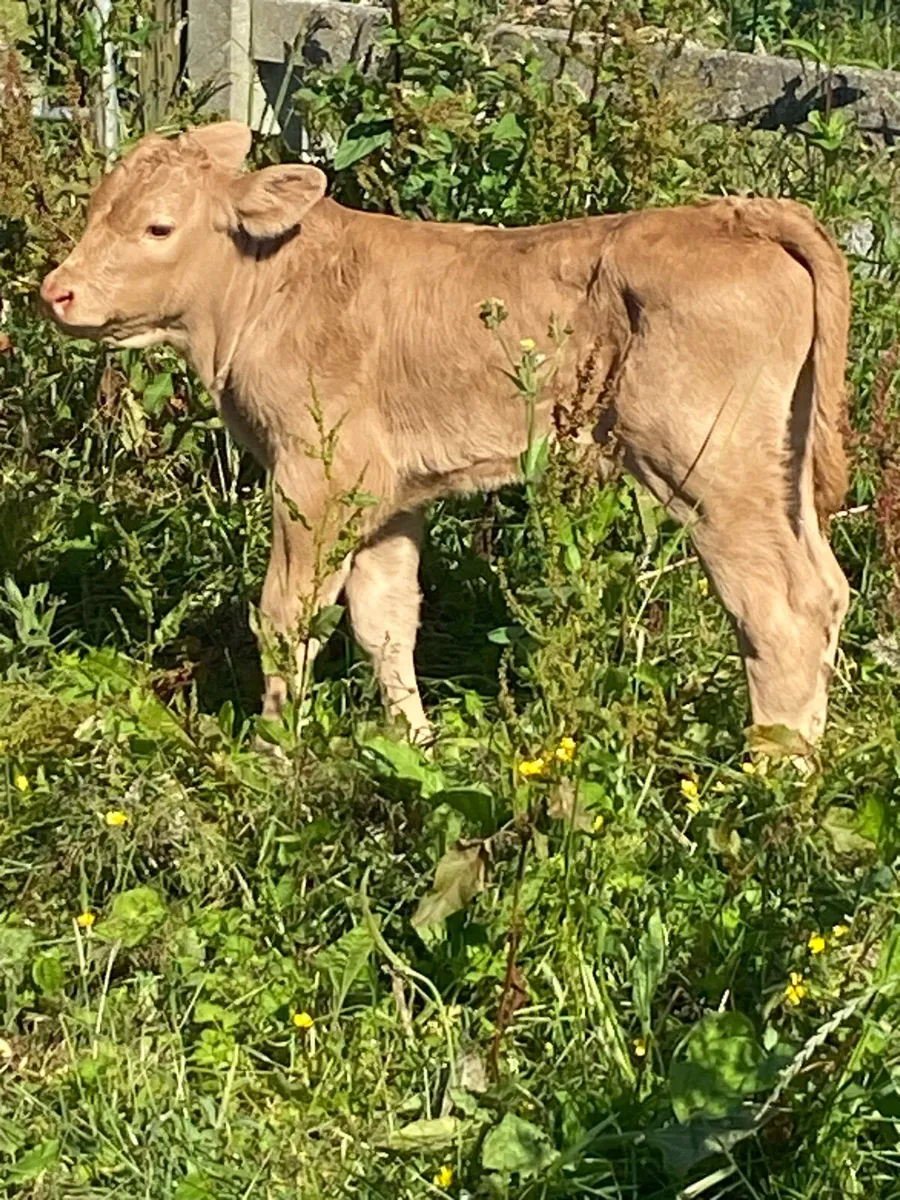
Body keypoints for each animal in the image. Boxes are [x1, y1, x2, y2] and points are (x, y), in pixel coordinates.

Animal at [40, 120, 851, 747]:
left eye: (158, 226)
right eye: (98, 208)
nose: (57, 293)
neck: (271, 286)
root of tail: (737, 215)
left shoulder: (315, 478)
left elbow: (288, 616)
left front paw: (274, 757)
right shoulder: (392, 495)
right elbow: (386, 619)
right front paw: (416, 744)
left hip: (706, 463)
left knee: (780, 609)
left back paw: (772, 776)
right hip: (779, 460)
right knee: (828, 590)